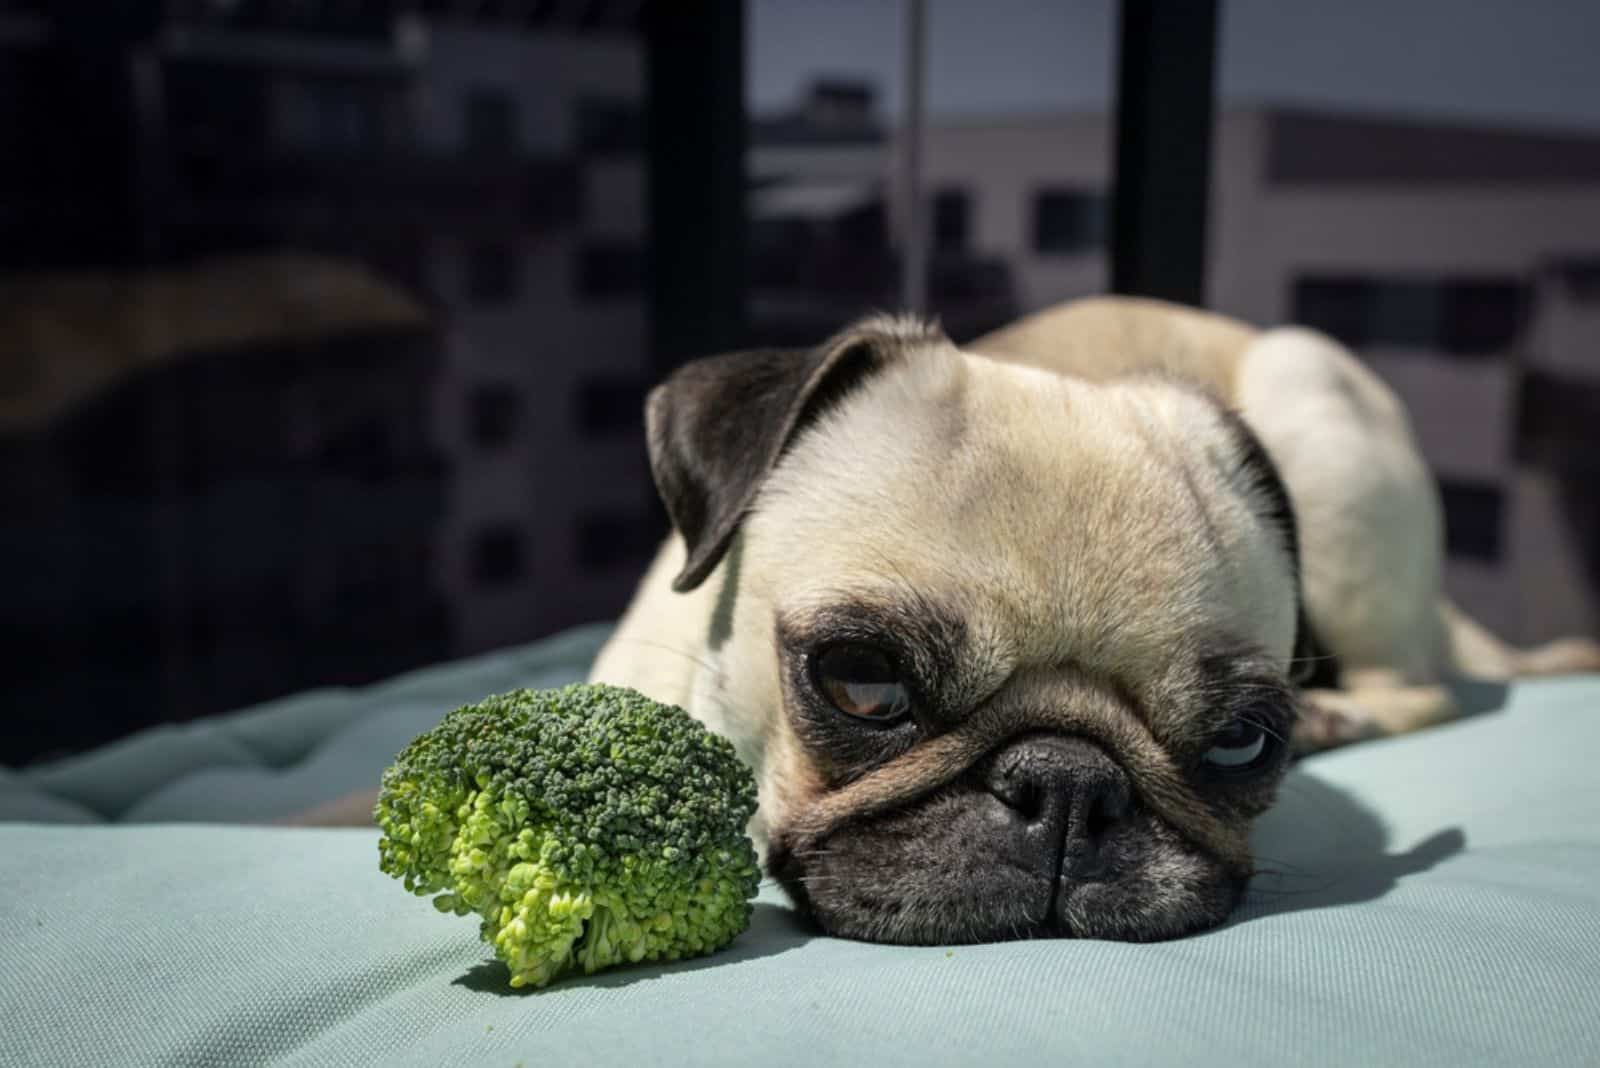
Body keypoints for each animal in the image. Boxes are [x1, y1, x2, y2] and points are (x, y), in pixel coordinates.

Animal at [588, 292, 1600, 940]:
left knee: (1421, 688)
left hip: (1320, 431)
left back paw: (1339, 714)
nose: (1069, 785)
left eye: (1240, 742)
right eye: (863, 684)